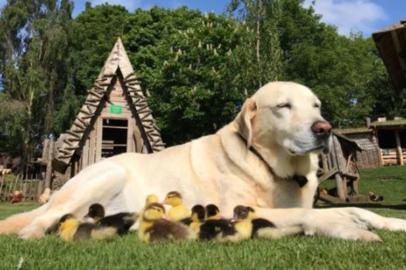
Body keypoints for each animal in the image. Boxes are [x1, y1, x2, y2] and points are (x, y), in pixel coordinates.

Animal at [0, 80, 406, 240]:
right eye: (283, 106)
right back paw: (35, 232)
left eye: (316, 105)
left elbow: (358, 209)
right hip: (106, 174)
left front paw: (391, 223)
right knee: (41, 221)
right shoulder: (238, 209)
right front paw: (348, 228)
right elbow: (318, 215)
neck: (271, 166)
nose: (324, 128)